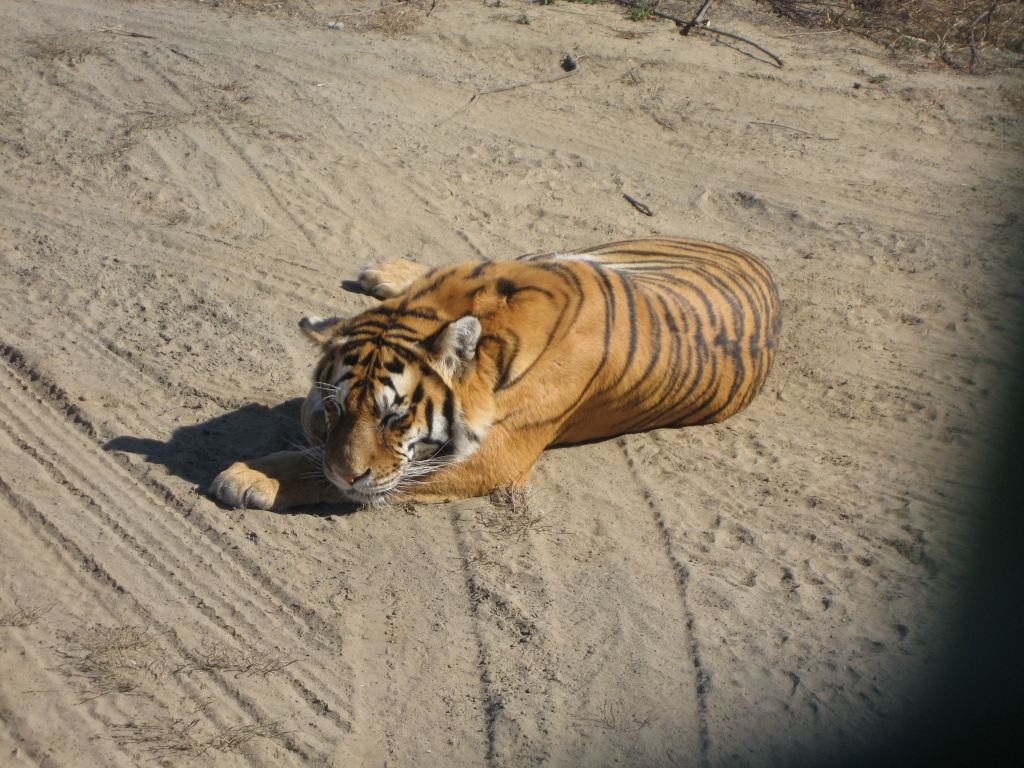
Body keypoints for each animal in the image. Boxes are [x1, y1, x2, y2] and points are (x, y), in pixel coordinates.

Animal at [209, 236, 782, 512]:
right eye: (337, 407)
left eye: (395, 418)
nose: (347, 473)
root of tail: (753, 256)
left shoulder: (495, 458)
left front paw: (249, 477)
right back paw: (386, 272)